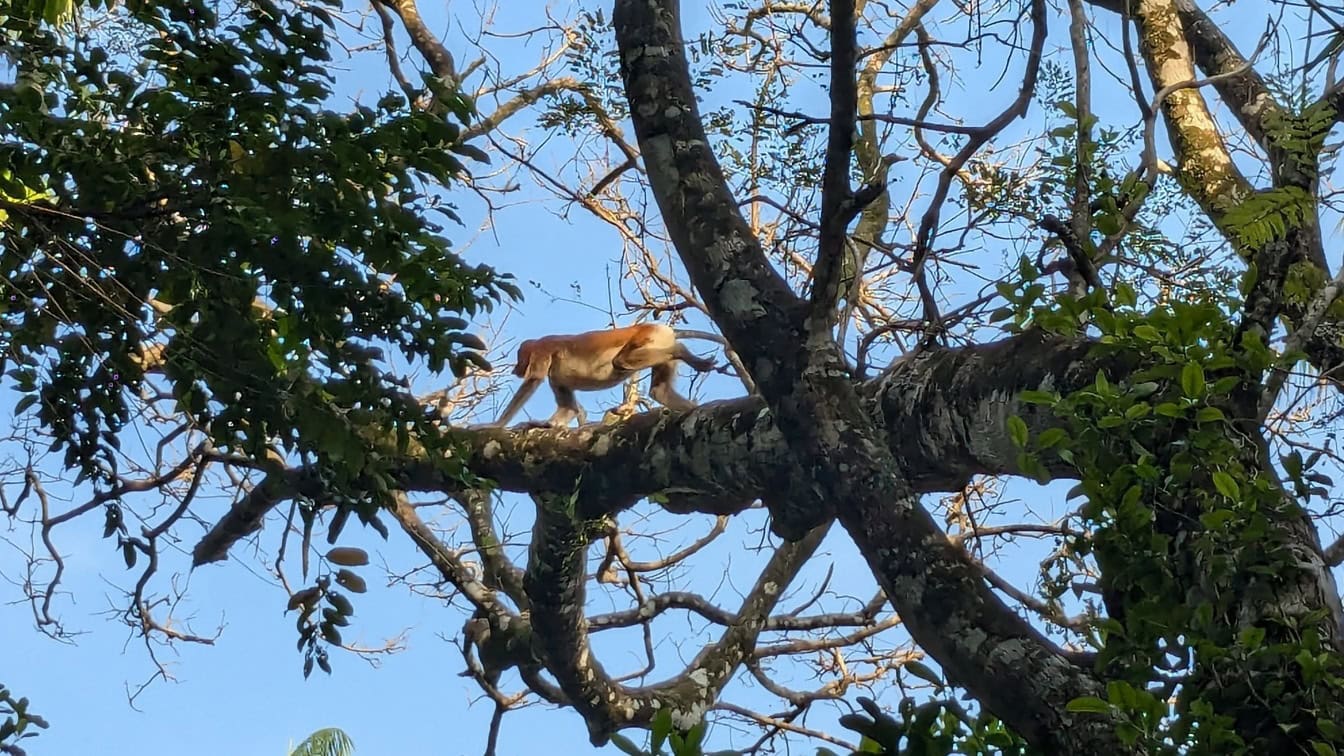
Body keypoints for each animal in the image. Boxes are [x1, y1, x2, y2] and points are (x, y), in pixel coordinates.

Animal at [491, 324, 725, 430]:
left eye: (520, 357)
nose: (515, 369)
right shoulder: (555, 378)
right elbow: (569, 409)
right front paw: (543, 425)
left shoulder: (543, 349)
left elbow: (533, 380)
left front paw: (494, 425)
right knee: (660, 391)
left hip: (649, 337)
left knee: (621, 361)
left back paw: (682, 351)